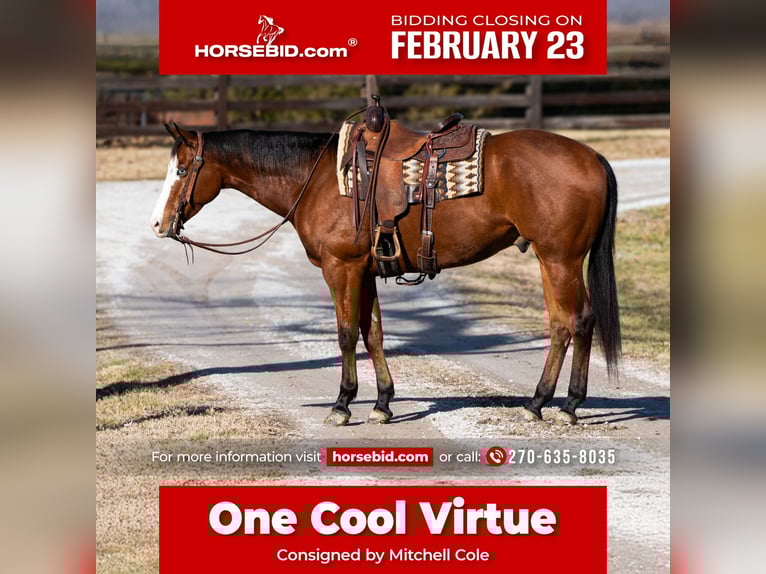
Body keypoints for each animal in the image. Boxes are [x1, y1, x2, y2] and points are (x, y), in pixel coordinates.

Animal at [149, 118, 621, 427]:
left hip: (560, 260)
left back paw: (568, 405)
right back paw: (539, 401)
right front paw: (382, 403)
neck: (318, 179)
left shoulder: (341, 269)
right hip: (549, 260)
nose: (157, 224)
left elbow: (345, 334)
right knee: (561, 326)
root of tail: (592, 155)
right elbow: (372, 332)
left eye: (181, 169)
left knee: (579, 321)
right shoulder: (366, 270)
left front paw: (342, 404)